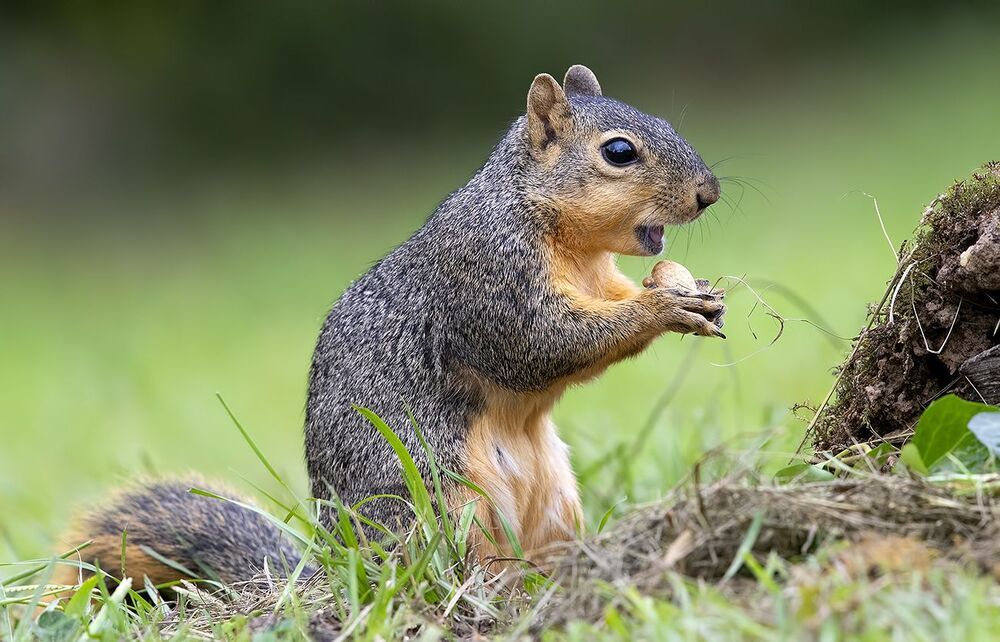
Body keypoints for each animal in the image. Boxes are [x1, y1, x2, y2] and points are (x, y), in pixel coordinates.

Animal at [49, 65, 723, 592]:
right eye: (618, 152)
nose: (709, 193)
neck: (558, 232)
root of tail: (344, 570)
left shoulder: (599, 278)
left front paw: (694, 295)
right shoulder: (487, 276)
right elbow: (543, 344)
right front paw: (662, 310)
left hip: (555, 503)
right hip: (440, 502)